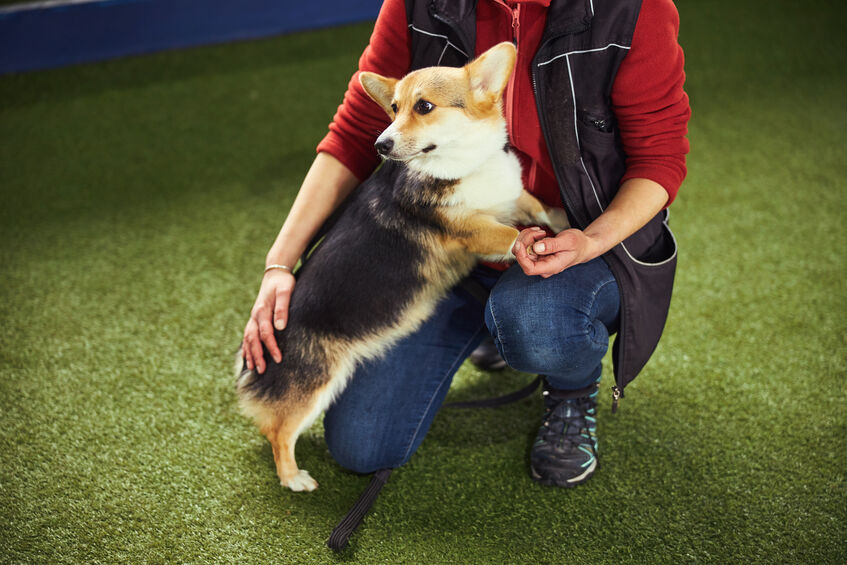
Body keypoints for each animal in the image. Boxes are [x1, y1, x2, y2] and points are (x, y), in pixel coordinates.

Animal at [235, 43, 568, 490]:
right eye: (393, 108)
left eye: (423, 106)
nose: (381, 144)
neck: (466, 164)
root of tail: (251, 359)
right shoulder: (468, 232)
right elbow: (507, 235)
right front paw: (532, 244)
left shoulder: (513, 197)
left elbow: (536, 206)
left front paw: (570, 222)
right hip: (316, 382)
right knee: (279, 430)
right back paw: (293, 477)